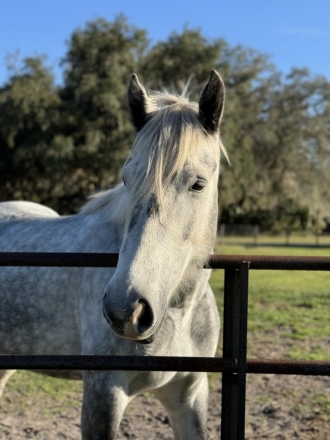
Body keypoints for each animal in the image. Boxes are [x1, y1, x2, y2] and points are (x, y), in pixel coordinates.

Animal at [0, 70, 227, 438]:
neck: (178, 313)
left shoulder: (190, 396)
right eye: (126, 179)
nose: (127, 310)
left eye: (198, 184)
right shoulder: (103, 396)